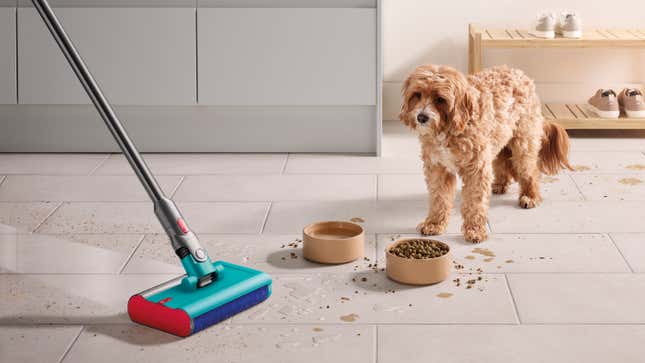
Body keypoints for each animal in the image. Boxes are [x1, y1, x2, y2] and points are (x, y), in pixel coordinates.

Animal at [400, 64, 572, 243]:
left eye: (440, 99)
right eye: (417, 94)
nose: (421, 117)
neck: (450, 128)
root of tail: (521, 74)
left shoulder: (476, 169)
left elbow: (475, 202)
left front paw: (475, 230)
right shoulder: (438, 168)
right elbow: (439, 198)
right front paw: (434, 224)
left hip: (523, 144)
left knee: (530, 171)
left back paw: (530, 196)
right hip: (498, 141)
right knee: (502, 163)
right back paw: (499, 185)